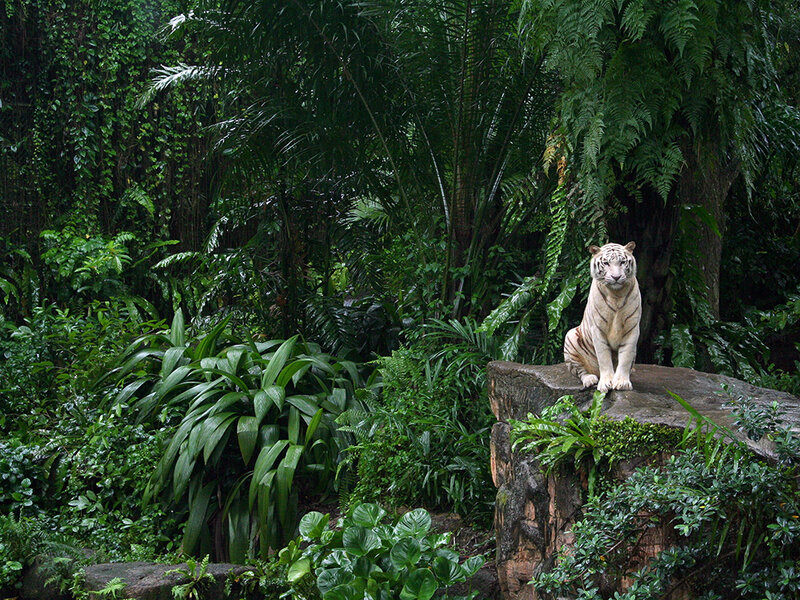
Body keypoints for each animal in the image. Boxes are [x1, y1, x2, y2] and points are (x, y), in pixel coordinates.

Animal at [563, 242, 641, 392]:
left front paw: (622, 382)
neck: (616, 294)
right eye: (606, 263)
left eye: (622, 262)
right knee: (580, 371)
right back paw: (590, 379)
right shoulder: (597, 329)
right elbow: (604, 358)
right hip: (570, 337)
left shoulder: (632, 328)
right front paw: (606, 383)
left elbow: (626, 357)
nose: (616, 277)